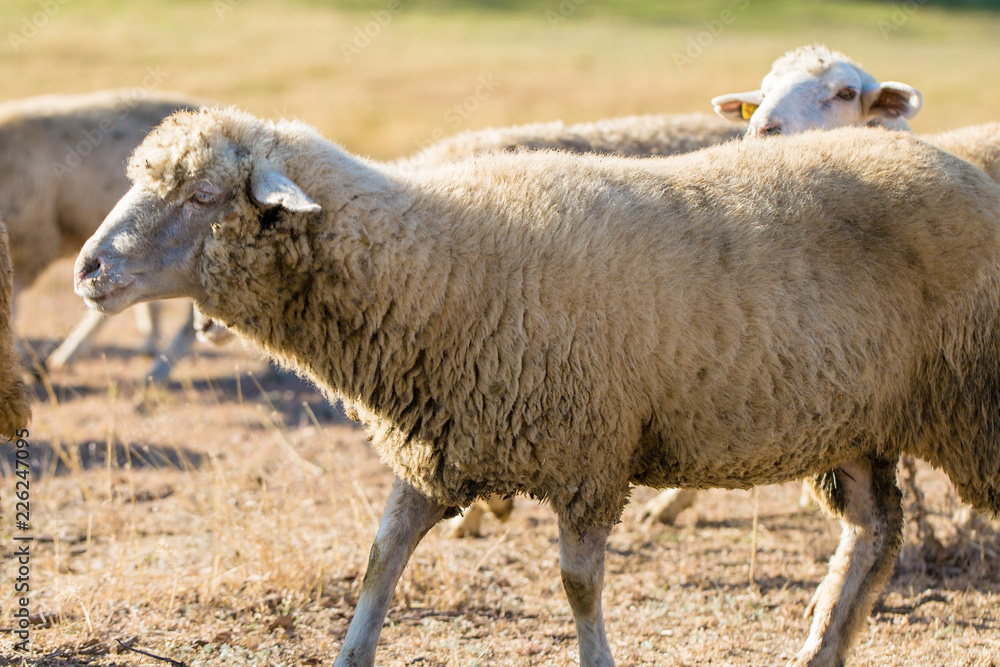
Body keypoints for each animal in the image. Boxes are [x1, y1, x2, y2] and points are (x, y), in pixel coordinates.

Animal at [74, 107, 1000, 664]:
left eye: (203, 195)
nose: (88, 269)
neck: (445, 263)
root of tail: (964, 162)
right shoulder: (441, 445)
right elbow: (380, 560)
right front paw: (351, 650)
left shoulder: (591, 455)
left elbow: (578, 585)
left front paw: (598, 656)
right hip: (856, 420)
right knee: (876, 535)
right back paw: (821, 645)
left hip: (973, 403)